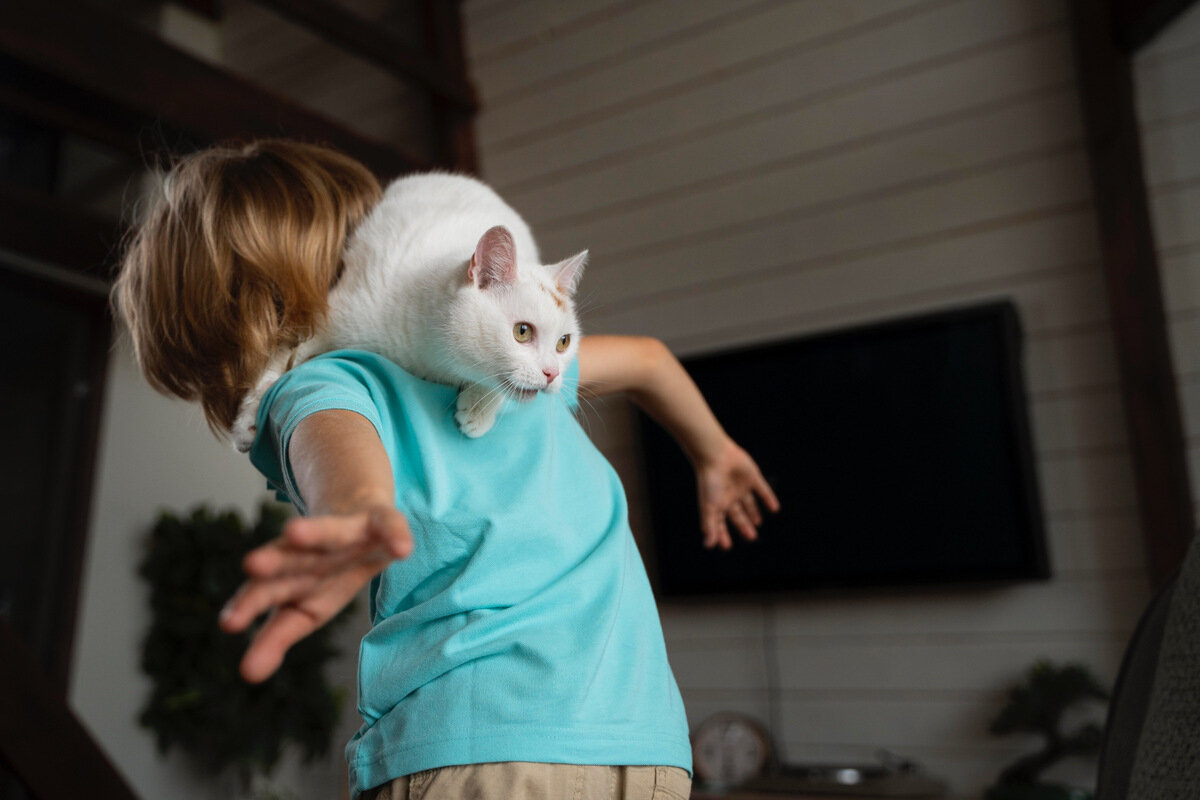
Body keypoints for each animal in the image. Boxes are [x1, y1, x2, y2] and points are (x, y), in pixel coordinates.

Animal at [229, 172, 585, 453]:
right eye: (522, 332)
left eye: (563, 342)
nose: (552, 373)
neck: (435, 360)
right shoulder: (336, 312)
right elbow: (281, 359)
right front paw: (248, 421)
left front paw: (478, 410)